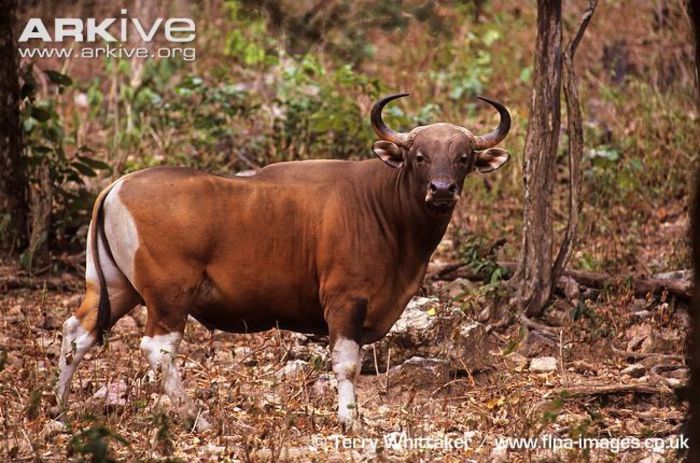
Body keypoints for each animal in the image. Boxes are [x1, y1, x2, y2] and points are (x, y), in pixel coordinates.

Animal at [57, 93, 512, 432]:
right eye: (419, 155)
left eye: (464, 157)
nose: (441, 189)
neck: (383, 207)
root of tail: (117, 185)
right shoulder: (345, 299)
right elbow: (347, 364)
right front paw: (350, 419)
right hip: (168, 295)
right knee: (158, 349)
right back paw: (196, 417)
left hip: (117, 286)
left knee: (78, 332)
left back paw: (58, 408)